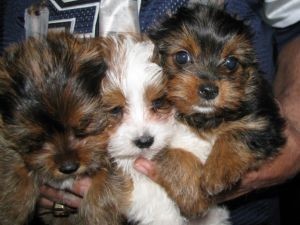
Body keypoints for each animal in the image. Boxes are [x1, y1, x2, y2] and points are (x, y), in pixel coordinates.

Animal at [0, 32, 125, 225]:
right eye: (36, 139)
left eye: (83, 126)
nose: (68, 168)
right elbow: (12, 161)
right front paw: (13, 207)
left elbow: (109, 178)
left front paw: (97, 215)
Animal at [150, 2, 286, 199]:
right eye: (182, 57)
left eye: (231, 62)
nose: (209, 91)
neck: (204, 117)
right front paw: (191, 190)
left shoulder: (265, 122)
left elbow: (239, 133)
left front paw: (217, 171)